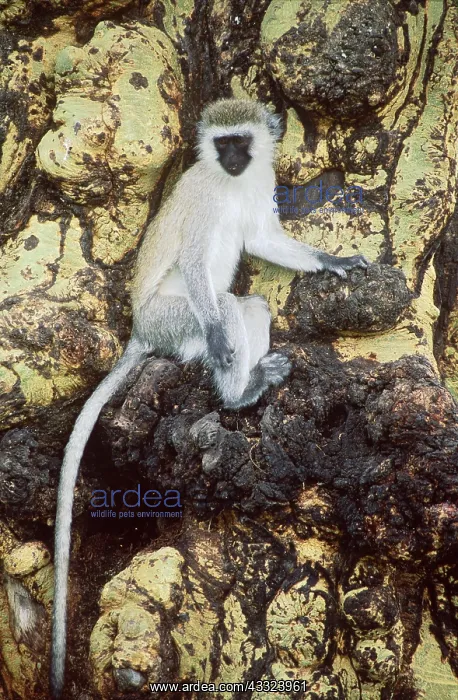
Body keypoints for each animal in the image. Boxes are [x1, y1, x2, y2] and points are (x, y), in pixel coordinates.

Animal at [50, 98, 368, 697]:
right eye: (222, 145)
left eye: (242, 141)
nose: (235, 159)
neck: (231, 185)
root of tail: (140, 330)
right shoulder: (200, 202)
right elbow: (198, 263)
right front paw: (227, 347)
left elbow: (264, 240)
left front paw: (333, 261)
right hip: (174, 320)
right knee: (219, 306)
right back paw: (238, 393)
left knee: (252, 306)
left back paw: (251, 381)